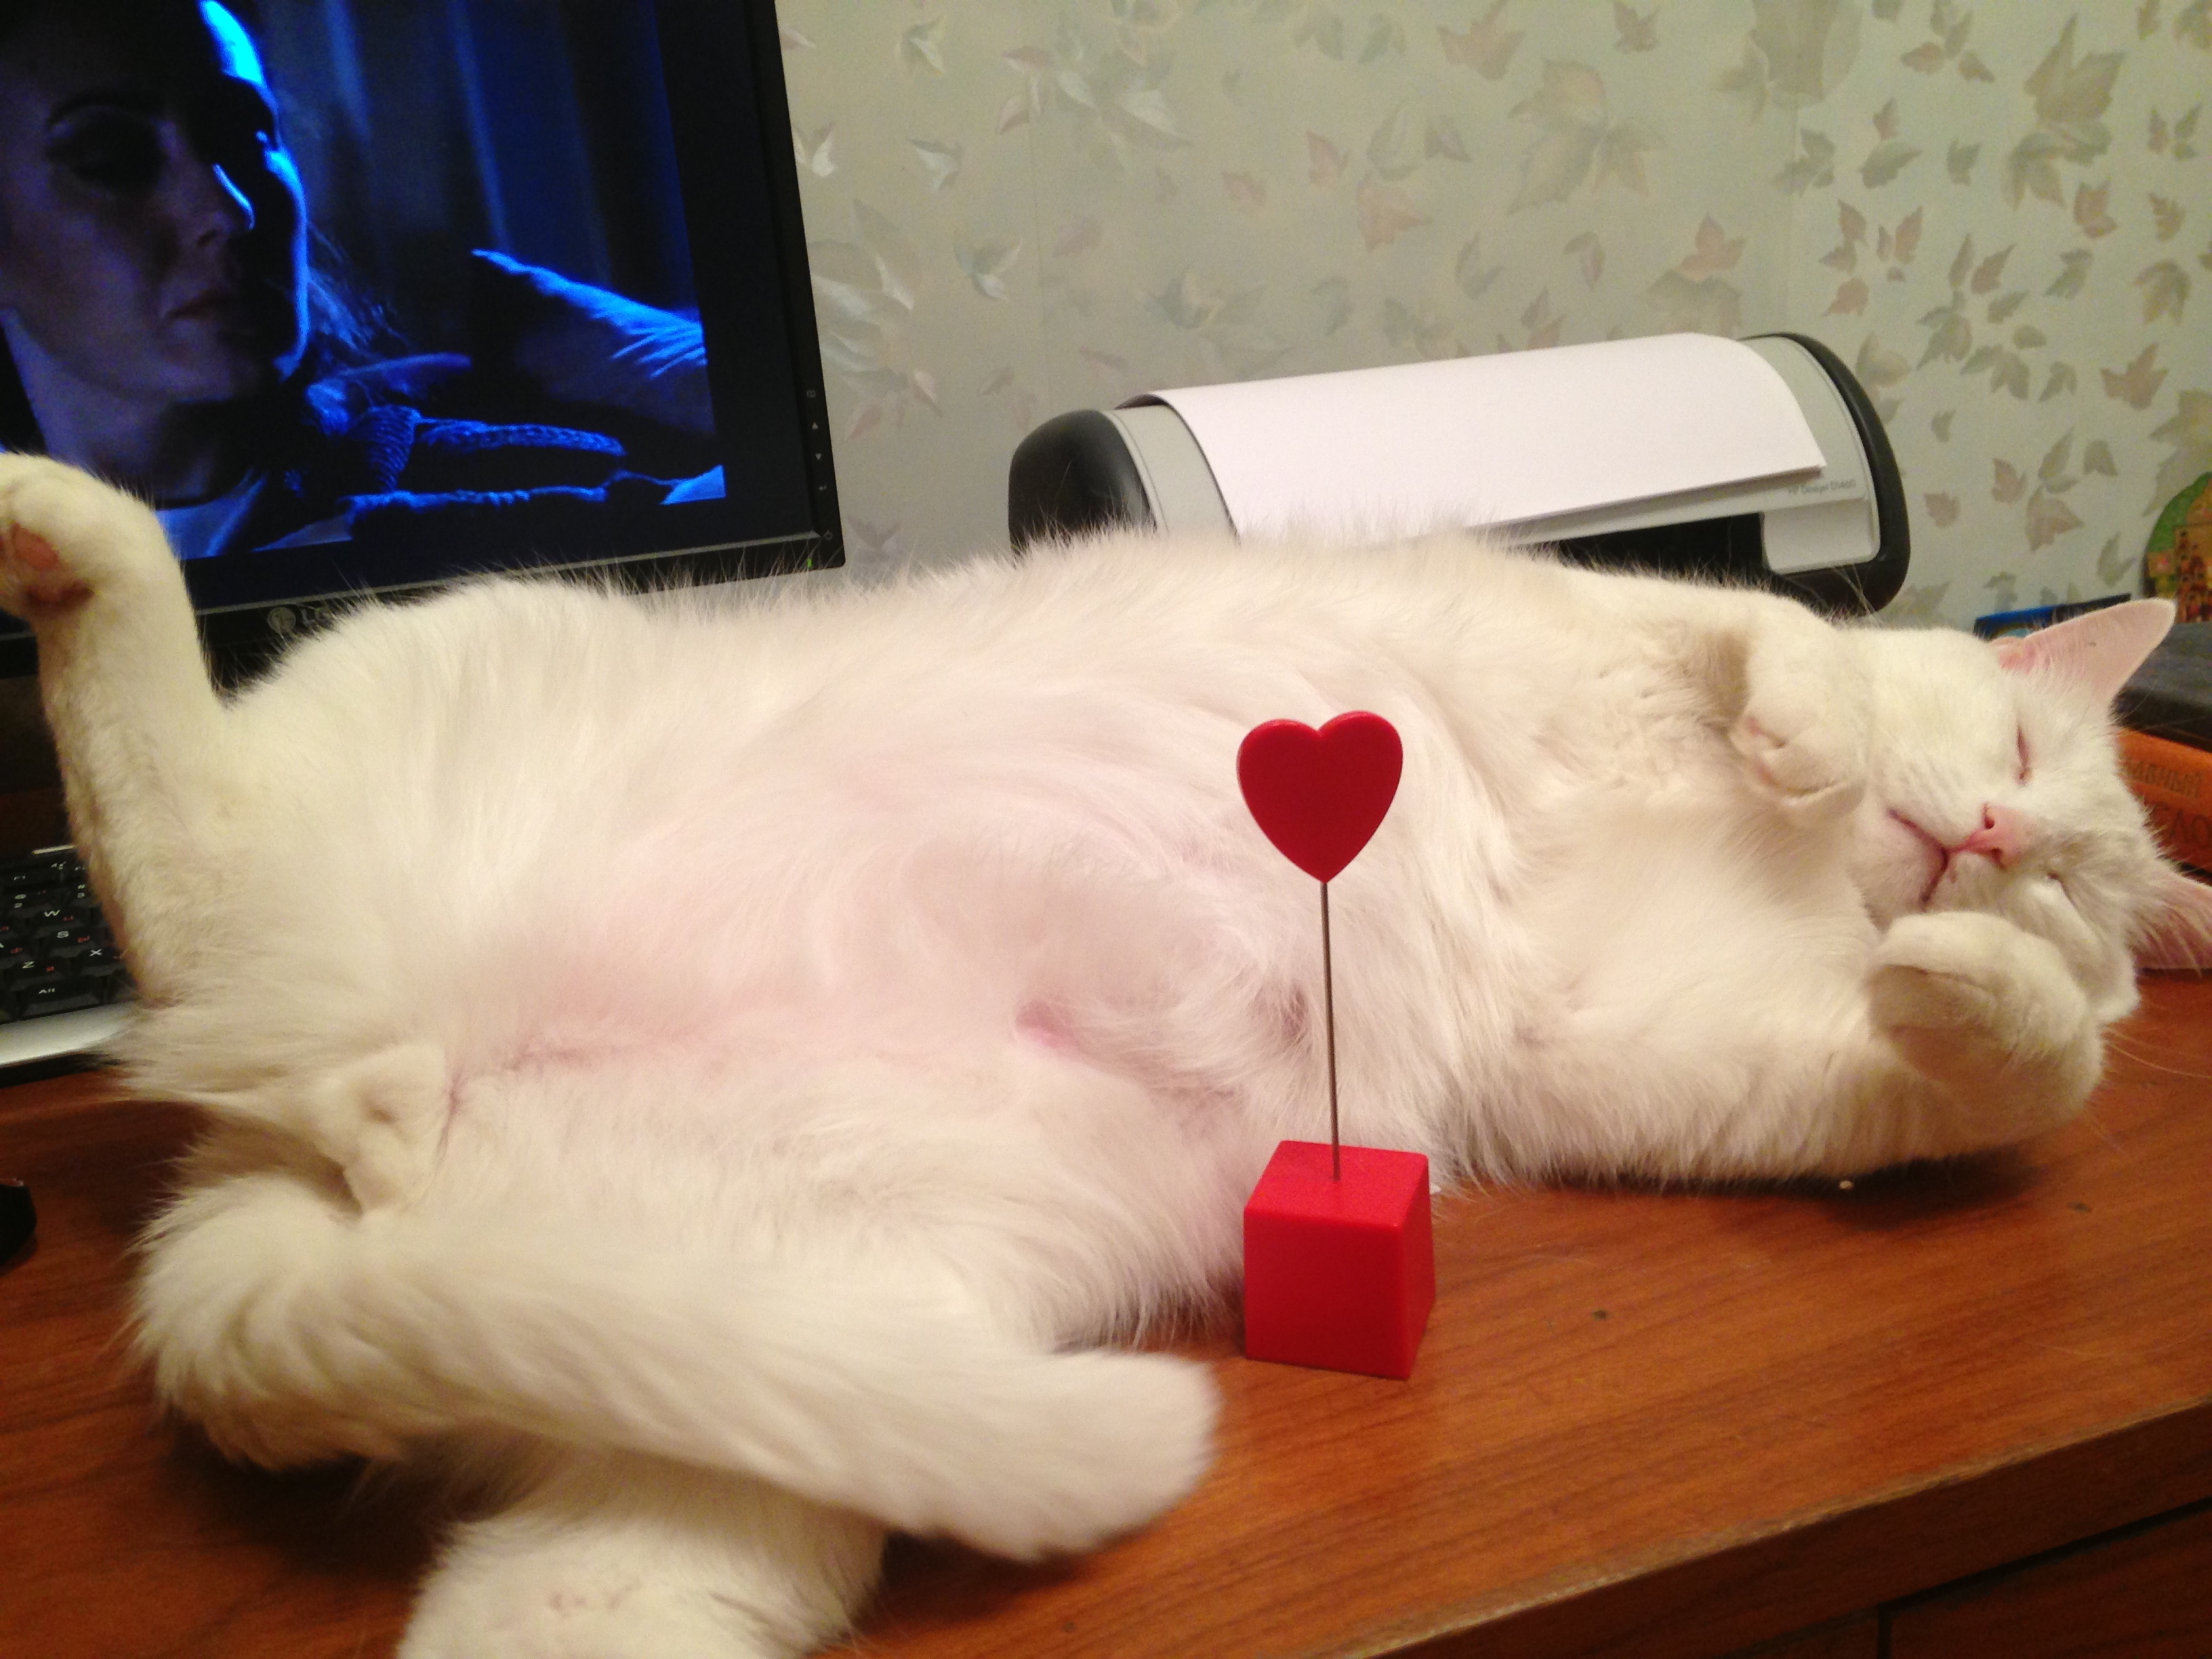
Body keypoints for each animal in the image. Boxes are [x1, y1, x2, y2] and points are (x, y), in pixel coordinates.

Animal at [1, 450, 2207, 1658]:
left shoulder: (1632, 1049)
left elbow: (2010, 1081)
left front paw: (1961, 984)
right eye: (2021, 750)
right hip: (461, 634)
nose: (1984, 842)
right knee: (175, 832)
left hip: (756, 1441)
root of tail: (332, 1144)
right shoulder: (1562, 621)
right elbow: (1769, 637)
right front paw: (1812, 736)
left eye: (2078, 893)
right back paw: (63, 523)